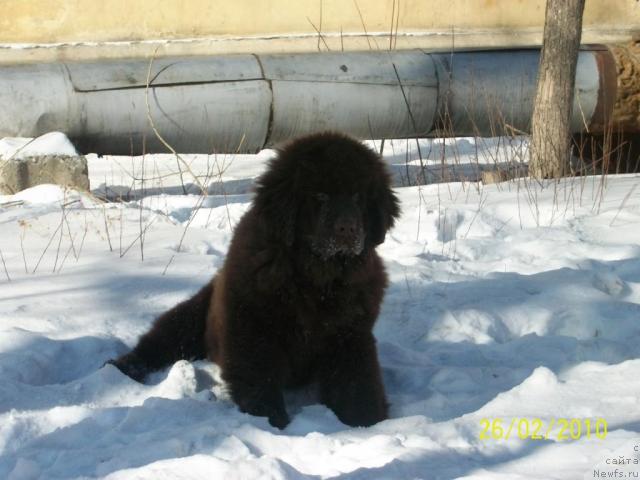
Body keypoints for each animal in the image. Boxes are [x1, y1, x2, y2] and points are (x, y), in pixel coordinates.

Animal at [110, 131, 400, 428]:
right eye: (319, 195)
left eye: (358, 196)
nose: (348, 228)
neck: (316, 279)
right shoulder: (254, 331)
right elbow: (260, 381)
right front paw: (272, 423)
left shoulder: (349, 337)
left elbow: (358, 385)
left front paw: (367, 423)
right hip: (188, 320)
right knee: (156, 343)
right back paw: (122, 367)